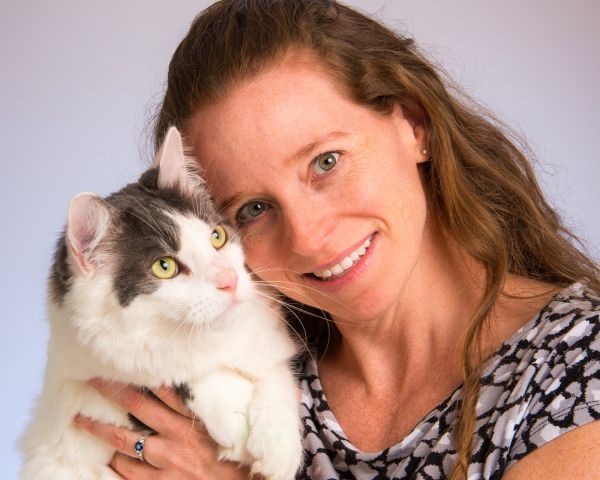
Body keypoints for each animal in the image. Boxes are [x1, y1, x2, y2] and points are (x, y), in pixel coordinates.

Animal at [20, 127, 302, 480]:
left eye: (217, 237)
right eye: (164, 267)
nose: (230, 279)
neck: (211, 339)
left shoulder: (267, 343)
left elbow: (277, 376)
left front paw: (278, 446)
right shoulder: (79, 381)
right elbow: (170, 375)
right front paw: (235, 423)